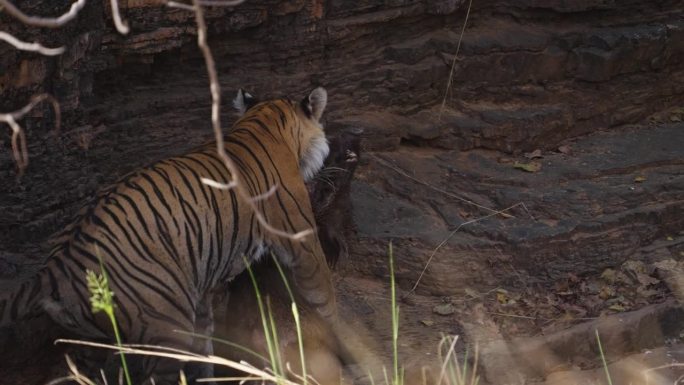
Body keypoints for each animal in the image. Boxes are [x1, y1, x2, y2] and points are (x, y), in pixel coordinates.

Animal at [0, 87, 336, 384]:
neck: (265, 120)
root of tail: (59, 263)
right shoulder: (302, 241)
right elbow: (325, 296)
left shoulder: (202, 283)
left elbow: (204, 342)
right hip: (166, 324)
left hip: (89, 340)